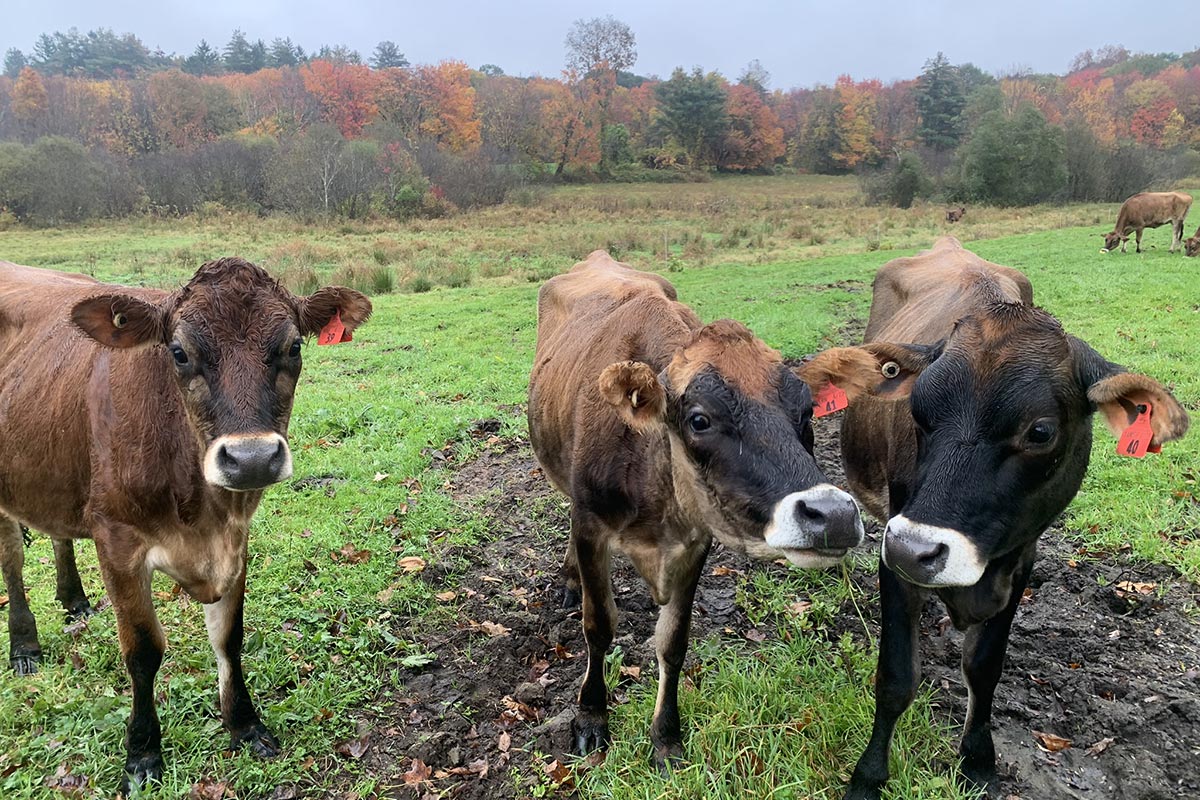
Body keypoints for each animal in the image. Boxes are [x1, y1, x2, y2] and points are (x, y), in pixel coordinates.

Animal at [0, 258, 371, 792]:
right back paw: (24, 646)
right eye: (179, 352)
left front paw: (245, 725)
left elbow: (228, 637)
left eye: (294, 347)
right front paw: (142, 753)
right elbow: (142, 652)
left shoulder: (236, 539)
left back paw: (74, 601)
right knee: (12, 557)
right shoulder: (117, 541)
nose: (251, 459)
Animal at [528, 250, 872, 766]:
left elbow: (673, 641)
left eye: (808, 411)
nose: (833, 515)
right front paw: (591, 717)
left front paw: (665, 735)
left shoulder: (695, 541)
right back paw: (570, 581)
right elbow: (599, 625)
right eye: (699, 420)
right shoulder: (591, 526)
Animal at [800, 237, 1189, 799]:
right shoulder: (895, 557)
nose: (915, 549)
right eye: (917, 412)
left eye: (1041, 432)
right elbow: (895, 677)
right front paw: (868, 777)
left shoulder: (1021, 560)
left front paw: (978, 762)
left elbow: (985, 669)